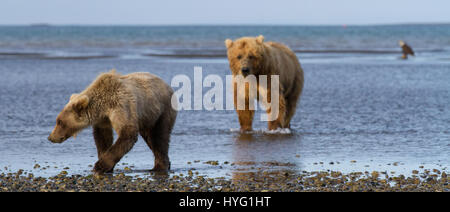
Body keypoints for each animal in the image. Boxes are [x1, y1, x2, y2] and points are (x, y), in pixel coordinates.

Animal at [47, 70, 177, 175]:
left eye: (60, 122)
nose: (51, 137)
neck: (103, 106)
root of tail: (168, 86)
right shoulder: (103, 120)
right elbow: (103, 138)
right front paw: (106, 163)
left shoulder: (121, 105)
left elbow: (127, 134)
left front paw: (99, 166)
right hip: (147, 116)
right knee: (150, 138)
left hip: (161, 110)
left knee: (158, 137)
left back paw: (159, 166)